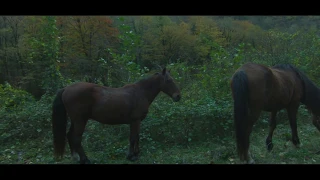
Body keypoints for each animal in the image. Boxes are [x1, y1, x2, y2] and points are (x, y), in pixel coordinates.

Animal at [53, 67, 182, 163]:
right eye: (169, 80)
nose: (178, 96)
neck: (141, 92)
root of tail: (66, 89)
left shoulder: (136, 121)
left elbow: (136, 137)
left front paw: (135, 154)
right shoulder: (135, 121)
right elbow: (133, 137)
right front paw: (131, 156)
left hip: (75, 121)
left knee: (70, 135)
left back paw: (75, 158)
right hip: (80, 121)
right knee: (76, 138)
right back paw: (85, 160)